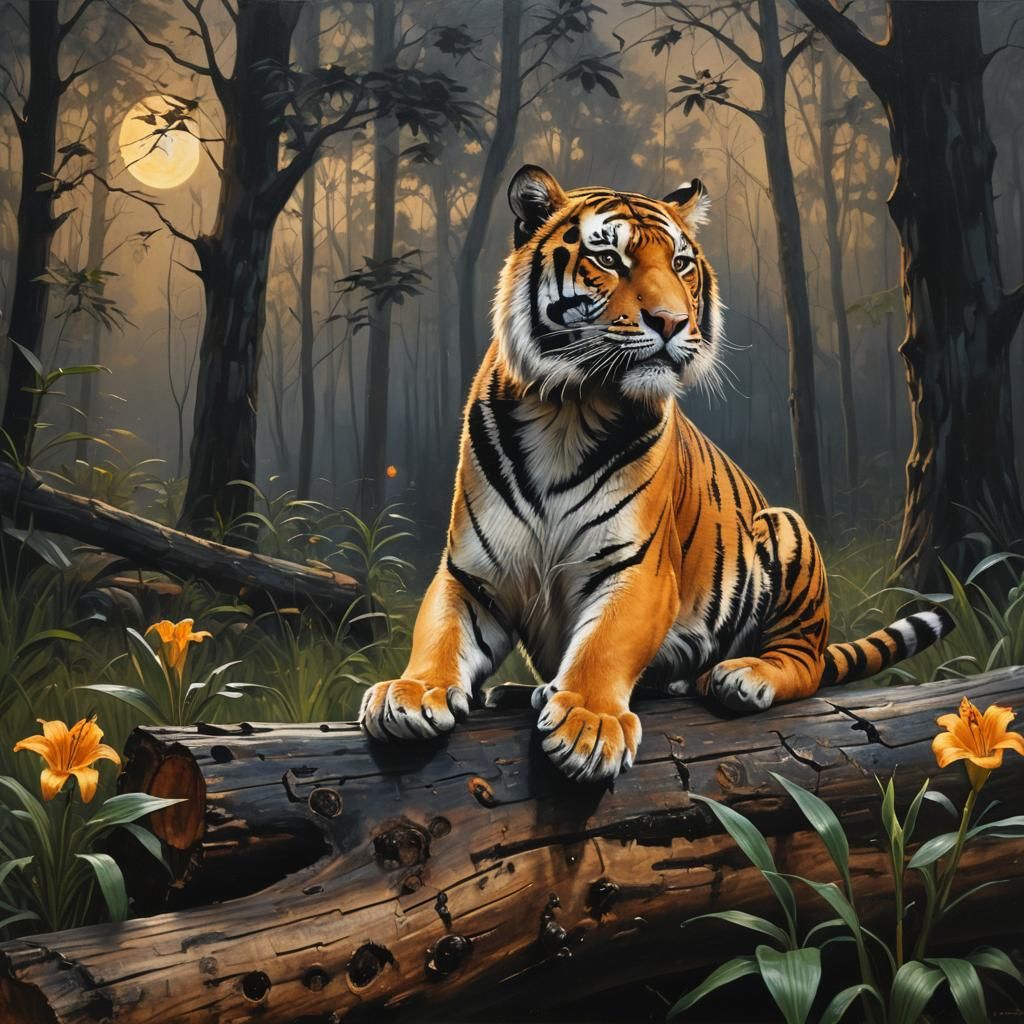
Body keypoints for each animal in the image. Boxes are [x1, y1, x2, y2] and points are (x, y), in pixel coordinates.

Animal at [359, 164, 954, 782]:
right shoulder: (472, 572)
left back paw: (744, 675)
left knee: (806, 662)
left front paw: (589, 724)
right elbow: (441, 632)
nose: (671, 321)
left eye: (682, 264)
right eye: (608, 258)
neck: (567, 414)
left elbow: (604, 644)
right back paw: (528, 690)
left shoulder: (637, 566)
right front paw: (411, 692)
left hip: (786, 527)